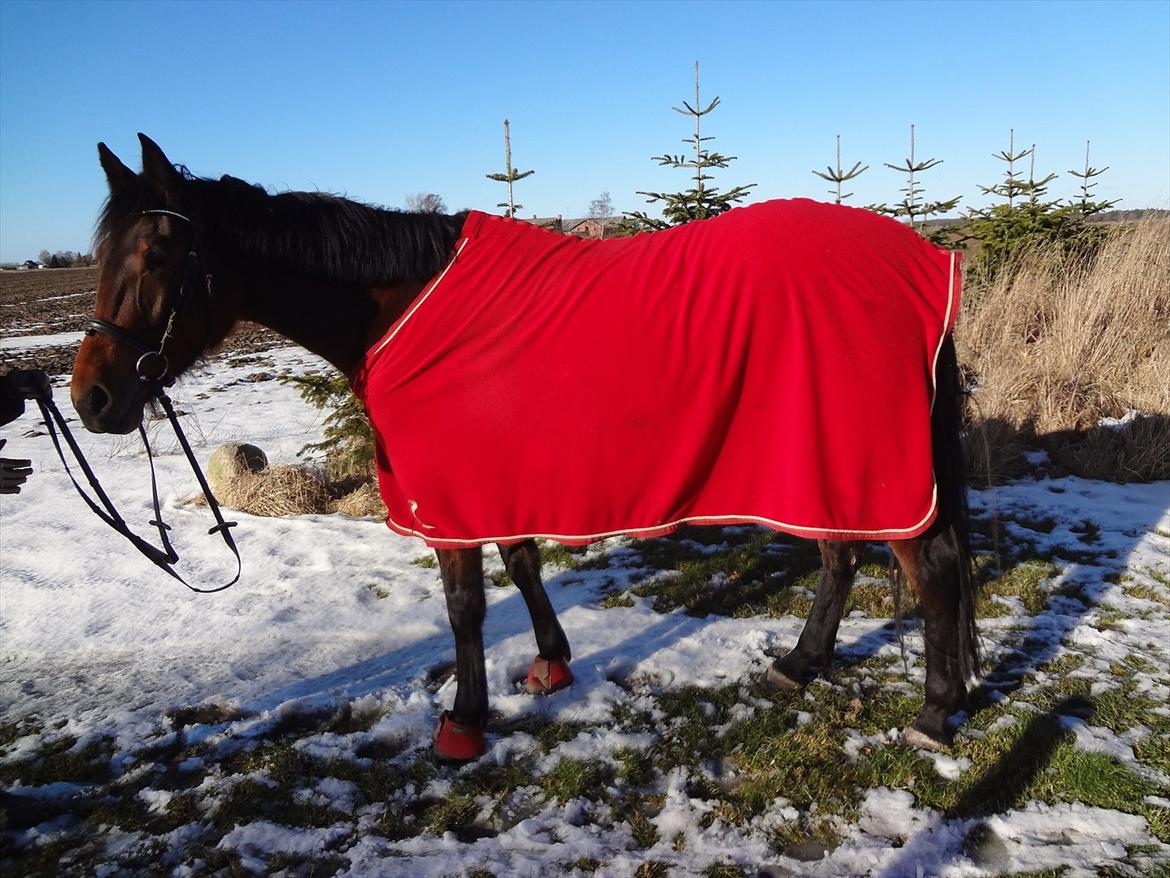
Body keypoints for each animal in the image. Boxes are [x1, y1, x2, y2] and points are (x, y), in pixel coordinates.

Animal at [68, 135, 973, 763]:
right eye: (98, 257)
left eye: (159, 253)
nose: (91, 399)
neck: (400, 303)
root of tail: (922, 262)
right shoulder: (496, 479)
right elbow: (524, 561)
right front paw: (549, 666)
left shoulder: (454, 492)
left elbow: (465, 605)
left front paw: (464, 724)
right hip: (820, 456)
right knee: (841, 558)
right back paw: (800, 664)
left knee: (928, 569)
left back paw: (932, 716)